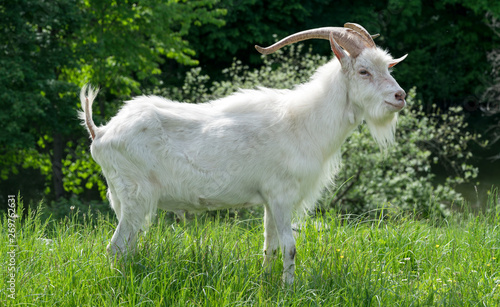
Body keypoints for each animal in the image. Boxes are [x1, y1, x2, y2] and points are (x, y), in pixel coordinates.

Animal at [78, 22, 406, 286]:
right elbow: (290, 246)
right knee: (116, 247)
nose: (400, 96)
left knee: (127, 246)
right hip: (135, 194)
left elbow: (270, 246)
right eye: (363, 71)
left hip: (125, 199)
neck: (302, 121)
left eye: (388, 68)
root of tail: (102, 132)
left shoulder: (270, 201)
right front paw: (290, 289)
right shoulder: (282, 196)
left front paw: (265, 283)